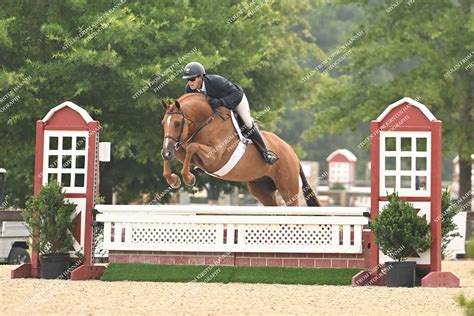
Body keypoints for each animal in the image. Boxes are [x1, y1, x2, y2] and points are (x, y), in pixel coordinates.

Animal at [161, 92, 320, 206]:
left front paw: (188, 178)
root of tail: (292, 153)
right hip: (262, 189)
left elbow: (191, 147)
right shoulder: (183, 149)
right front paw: (173, 179)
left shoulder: (214, 158)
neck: (206, 121)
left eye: (177, 123)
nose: (166, 153)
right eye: (163, 123)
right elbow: (183, 150)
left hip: (288, 187)